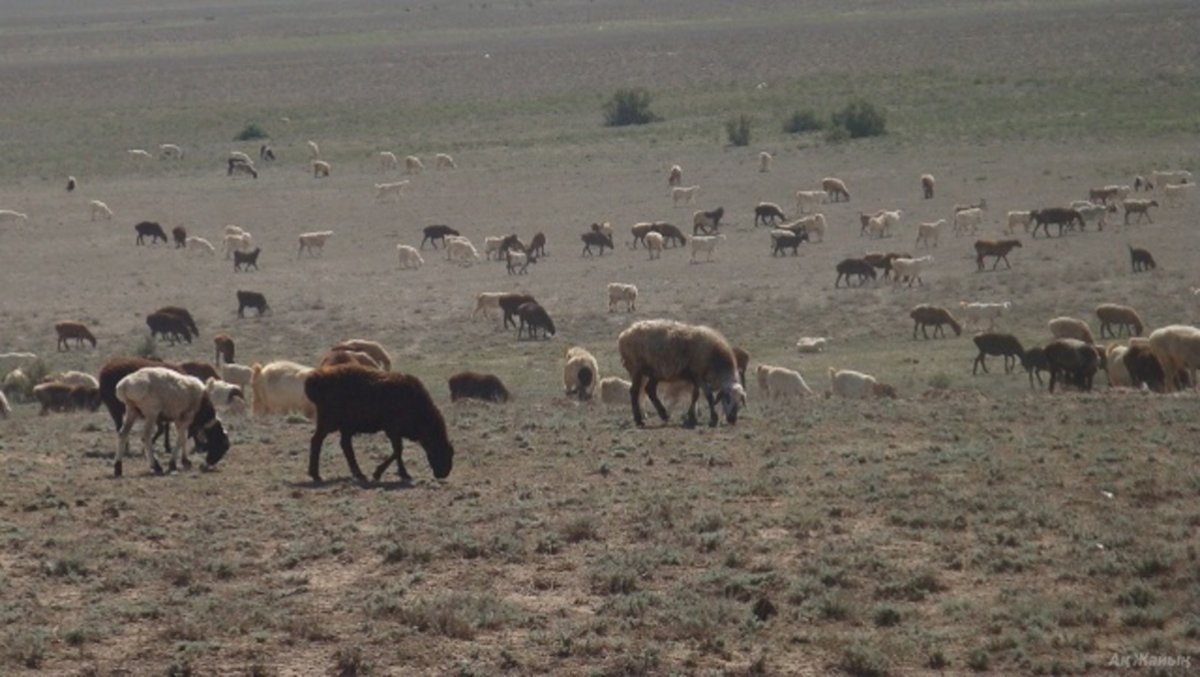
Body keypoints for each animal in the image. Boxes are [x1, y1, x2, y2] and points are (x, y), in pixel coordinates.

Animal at [304, 367, 453, 484]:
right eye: (441, 451)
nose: (443, 474)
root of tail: (316, 379)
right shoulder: (392, 430)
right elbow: (398, 450)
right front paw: (382, 473)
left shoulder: (394, 432)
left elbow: (397, 451)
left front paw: (399, 473)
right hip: (328, 423)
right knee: (317, 441)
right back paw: (316, 475)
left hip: (345, 427)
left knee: (345, 445)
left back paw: (358, 473)